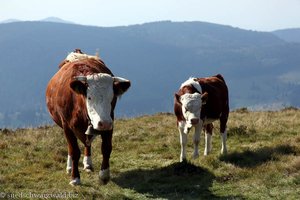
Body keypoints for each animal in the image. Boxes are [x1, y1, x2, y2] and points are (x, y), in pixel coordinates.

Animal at [46, 49, 131, 184]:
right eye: (89, 97)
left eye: (112, 97)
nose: (103, 123)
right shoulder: (67, 126)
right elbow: (74, 151)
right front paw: (75, 178)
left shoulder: (110, 120)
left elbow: (106, 148)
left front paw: (104, 174)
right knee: (71, 148)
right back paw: (70, 167)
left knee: (87, 143)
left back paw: (88, 164)